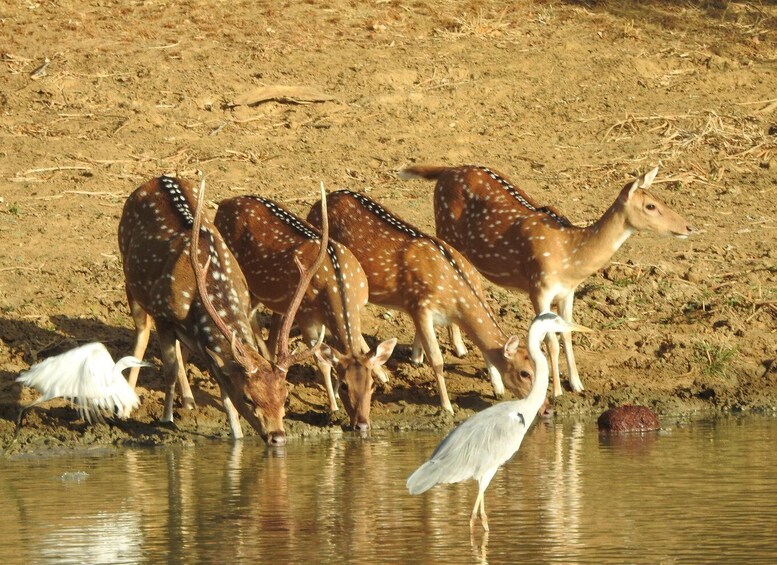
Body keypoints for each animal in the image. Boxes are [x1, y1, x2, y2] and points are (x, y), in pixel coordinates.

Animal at [118, 175, 328, 444]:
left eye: (285, 396)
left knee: (179, 350)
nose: (278, 437)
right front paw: (166, 419)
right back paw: (126, 408)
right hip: (130, 277)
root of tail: (157, 178)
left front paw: (237, 437)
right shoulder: (163, 316)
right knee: (142, 335)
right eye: (249, 397)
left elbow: (225, 396)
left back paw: (189, 402)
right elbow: (170, 369)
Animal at [214, 195, 397, 432]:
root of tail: (225, 203)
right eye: (344, 385)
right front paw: (333, 407)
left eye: (371, 385)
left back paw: (268, 356)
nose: (362, 425)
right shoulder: (306, 315)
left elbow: (362, 345)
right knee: (248, 313)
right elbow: (322, 362)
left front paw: (383, 375)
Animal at [306, 190, 535, 414]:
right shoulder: (421, 306)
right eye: (524, 373)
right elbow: (437, 359)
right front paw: (447, 406)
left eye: (539, 369)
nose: (540, 407)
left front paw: (497, 389)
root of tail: (313, 207)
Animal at [399, 164, 693, 398]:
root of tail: (447, 171)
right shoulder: (538, 287)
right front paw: (557, 391)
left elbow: (568, 334)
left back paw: (425, 354)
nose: (689, 227)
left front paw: (577, 384)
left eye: (660, 199)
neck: (571, 256)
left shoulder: (568, 292)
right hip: (445, 233)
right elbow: (550, 341)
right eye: (650, 206)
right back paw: (438, 351)